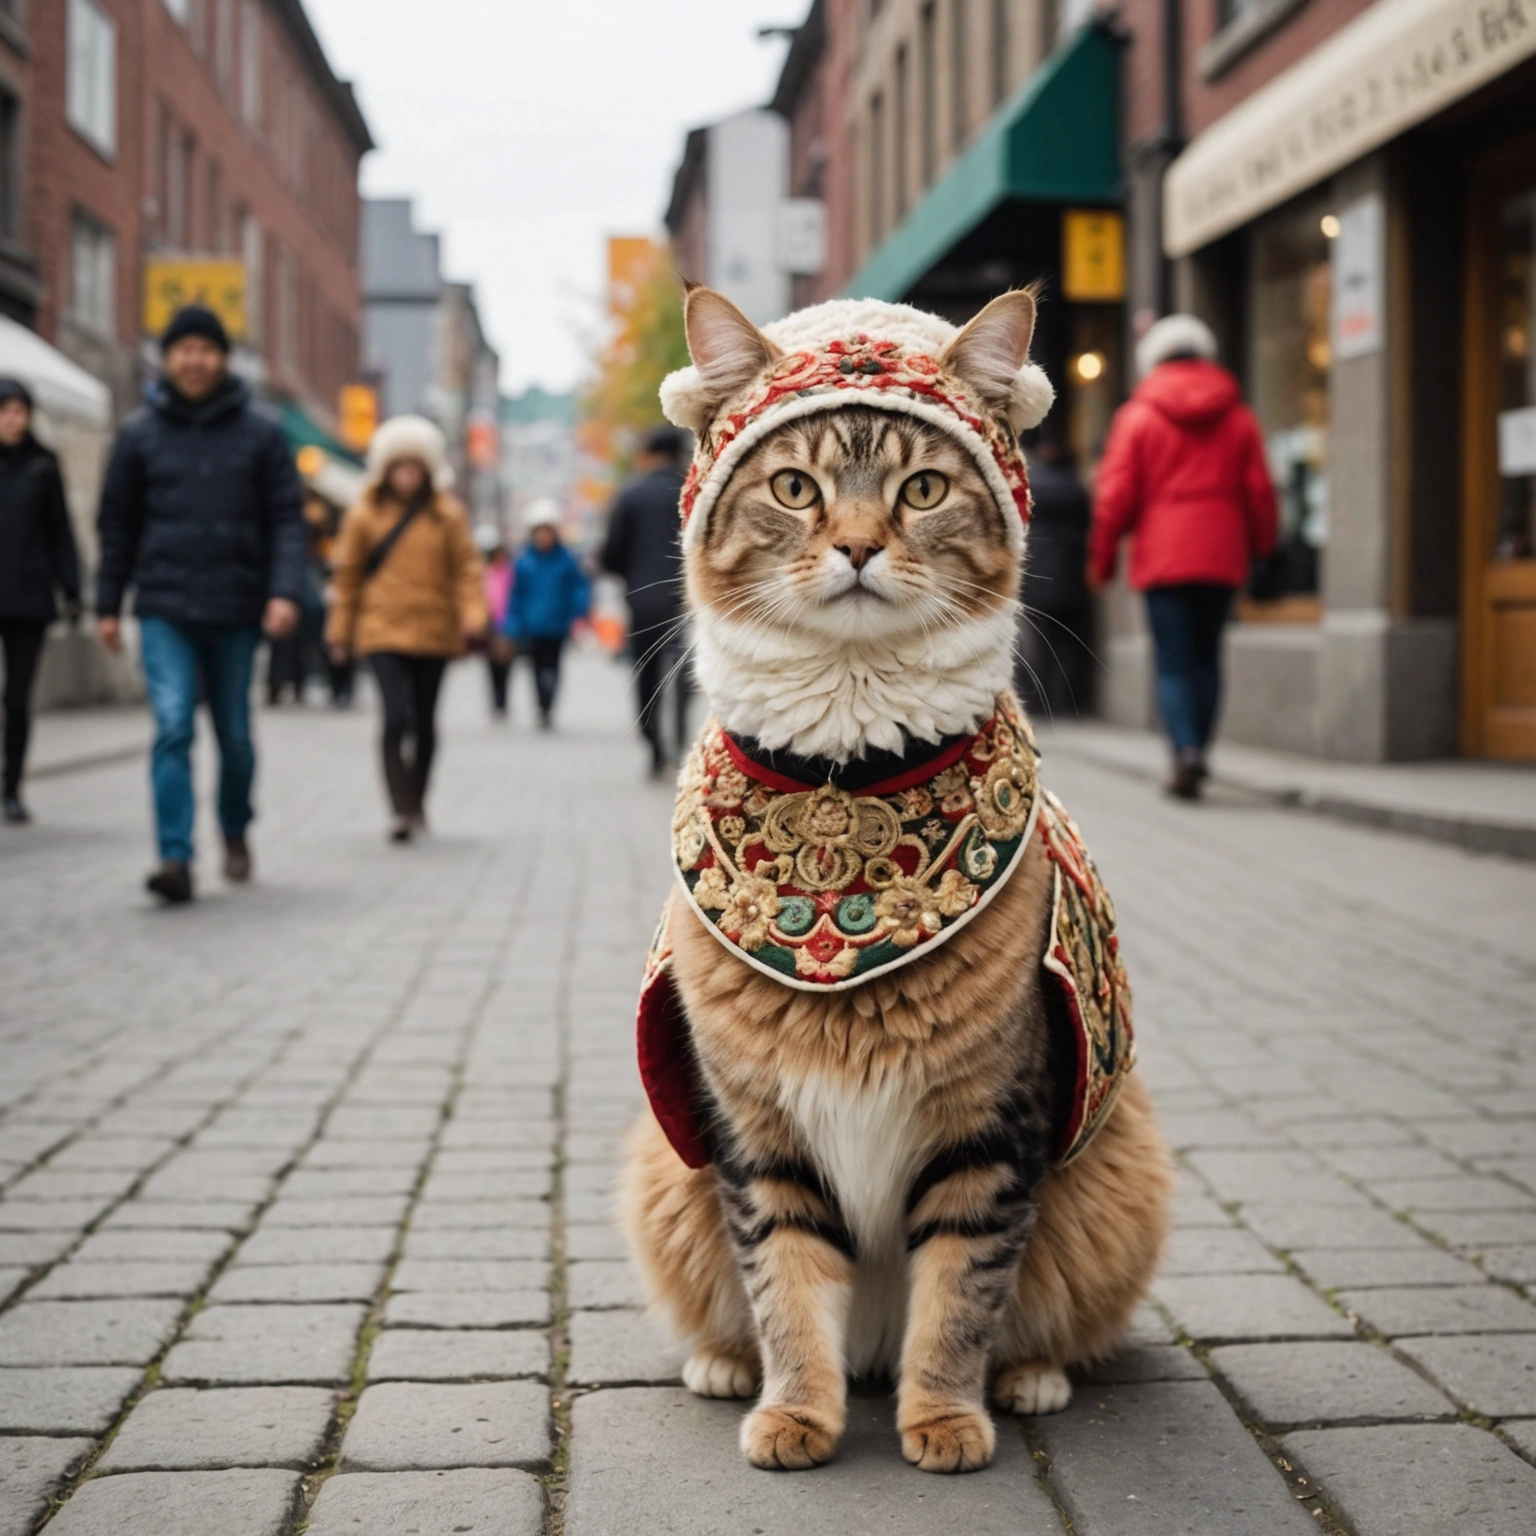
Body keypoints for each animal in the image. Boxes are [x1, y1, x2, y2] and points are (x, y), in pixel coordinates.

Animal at [617, 285, 1167, 1474]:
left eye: (923, 488)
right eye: (795, 487)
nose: (862, 548)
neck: (845, 785)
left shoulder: (988, 1129)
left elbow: (960, 1295)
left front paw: (945, 1418)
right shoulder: (758, 1132)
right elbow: (783, 1284)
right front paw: (794, 1413)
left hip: (1116, 1176)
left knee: (1046, 1319)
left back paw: (1029, 1378)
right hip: (666, 1173)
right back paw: (723, 1365)